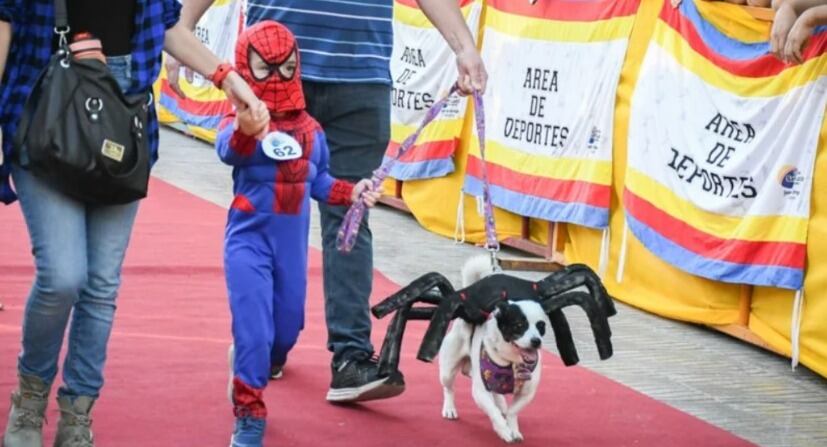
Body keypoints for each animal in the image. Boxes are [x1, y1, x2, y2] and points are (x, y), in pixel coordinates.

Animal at [440, 258, 548, 442]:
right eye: (519, 325)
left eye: (541, 326)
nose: (536, 341)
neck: (511, 362)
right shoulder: (480, 392)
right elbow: (493, 412)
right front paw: (503, 431)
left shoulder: (527, 393)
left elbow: (513, 411)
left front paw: (513, 429)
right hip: (448, 369)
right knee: (449, 388)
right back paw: (449, 408)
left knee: (496, 394)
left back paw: (501, 403)